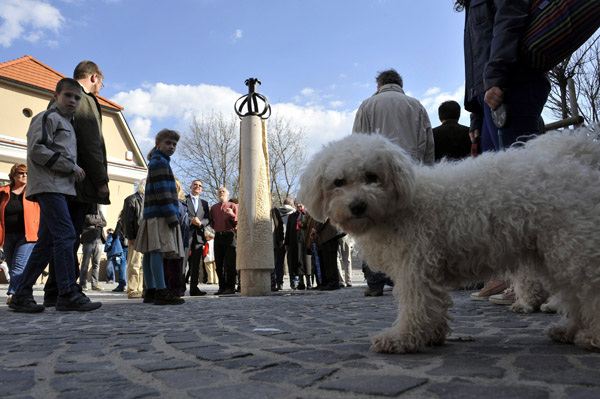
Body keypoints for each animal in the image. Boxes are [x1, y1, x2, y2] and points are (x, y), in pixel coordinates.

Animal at [298, 130, 600, 354]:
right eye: (338, 182)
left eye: (372, 176)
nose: (357, 206)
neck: (401, 205)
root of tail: (575, 158)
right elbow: (432, 304)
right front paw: (431, 335)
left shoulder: (415, 265)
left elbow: (415, 304)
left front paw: (401, 339)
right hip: (554, 253)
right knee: (573, 296)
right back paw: (568, 330)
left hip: (571, 248)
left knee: (588, 290)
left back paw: (591, 337)